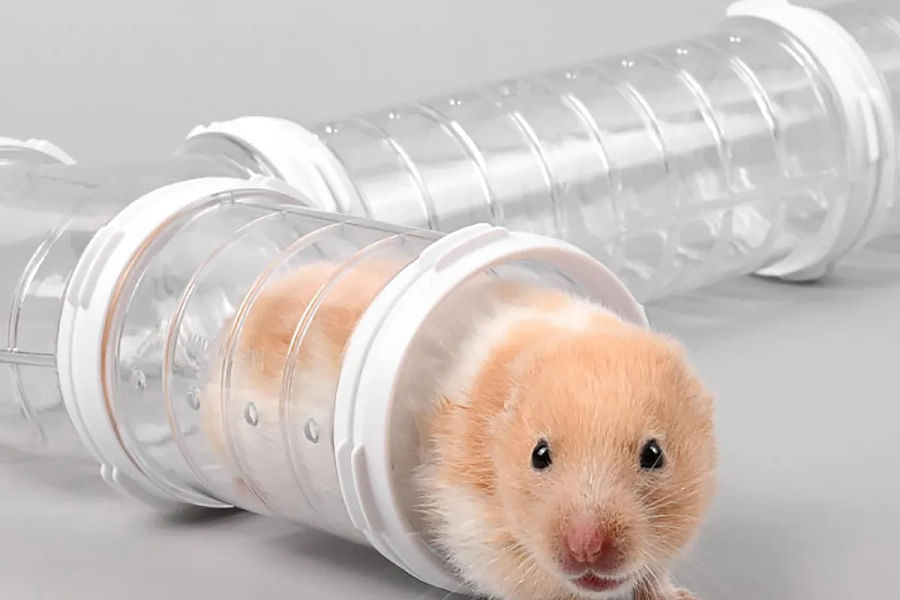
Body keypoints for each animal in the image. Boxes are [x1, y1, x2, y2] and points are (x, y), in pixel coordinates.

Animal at [200, 257, 716, 600]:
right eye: (539, 455)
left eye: (654, 455)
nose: (587, 552)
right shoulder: (473, 528)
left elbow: (650, 575)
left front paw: (679, 595)